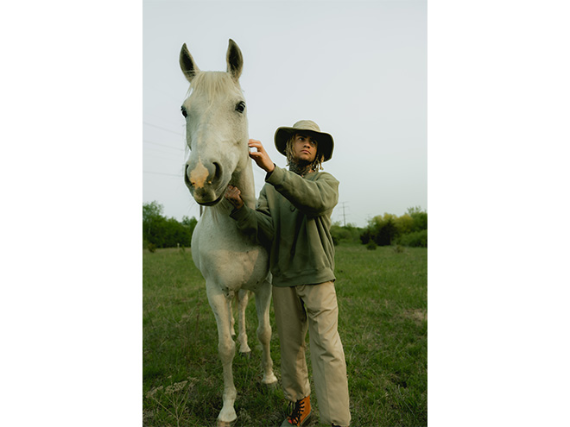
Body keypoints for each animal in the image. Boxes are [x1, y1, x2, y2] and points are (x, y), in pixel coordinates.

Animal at [178, 38, 276, 426]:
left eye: (240, 106)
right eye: (184, 111)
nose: (202, 176)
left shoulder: (263, 285)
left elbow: (265, 331)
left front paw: (269, 377)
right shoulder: (216, 291)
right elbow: (224, 348)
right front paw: (228, 407)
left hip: (247, 288)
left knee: (244, 313)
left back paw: (246, 343)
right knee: (234, 320)